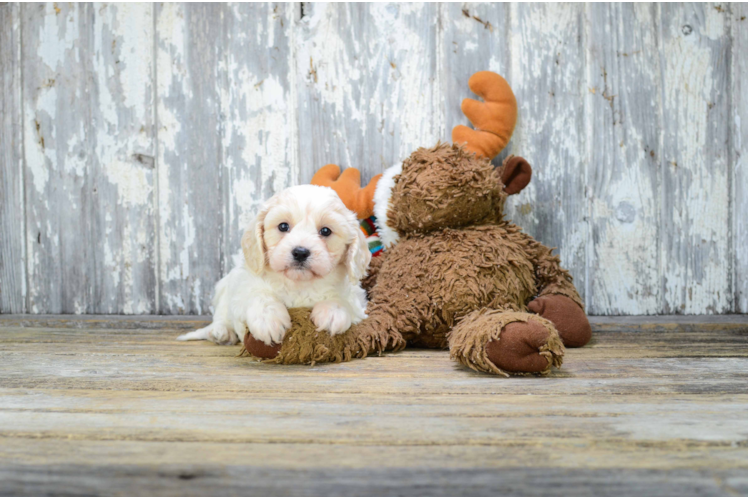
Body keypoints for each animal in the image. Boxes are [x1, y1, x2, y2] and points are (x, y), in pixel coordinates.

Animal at [178, 186, 372, 346]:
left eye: (325, 231)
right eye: (283, 226)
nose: (300, 252)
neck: (298, 284)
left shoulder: (357, 300)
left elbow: (341, 299)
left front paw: (332, 312)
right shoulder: (244, 286)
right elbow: (259, 295)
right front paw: (269, 320)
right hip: (224, 288)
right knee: (221, 315)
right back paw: (222, 332)